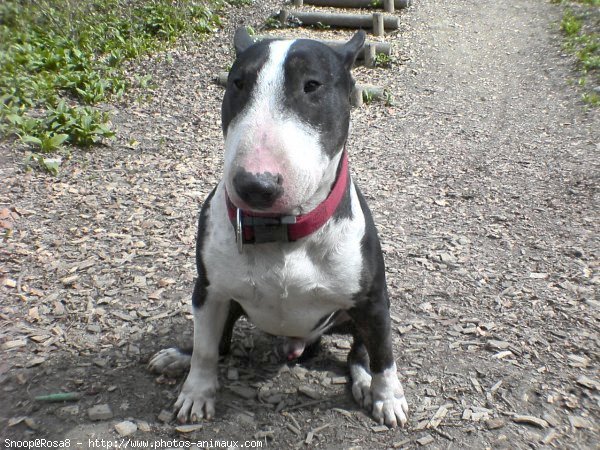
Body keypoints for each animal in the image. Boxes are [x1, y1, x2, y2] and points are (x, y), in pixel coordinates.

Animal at [152, 28, 410, 428]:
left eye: (312, 85)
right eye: (238, 83)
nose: (255, 185)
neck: (283, 230)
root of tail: (296, 343)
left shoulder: (373, 300)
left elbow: (383, 353)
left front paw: (390, 397)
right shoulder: (209, 290)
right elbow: (206, 351)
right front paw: (196, 392)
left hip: (352, 315)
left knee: (359, 352)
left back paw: (366, 383)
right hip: (226, 302)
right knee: (218, 343)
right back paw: (178, 355)